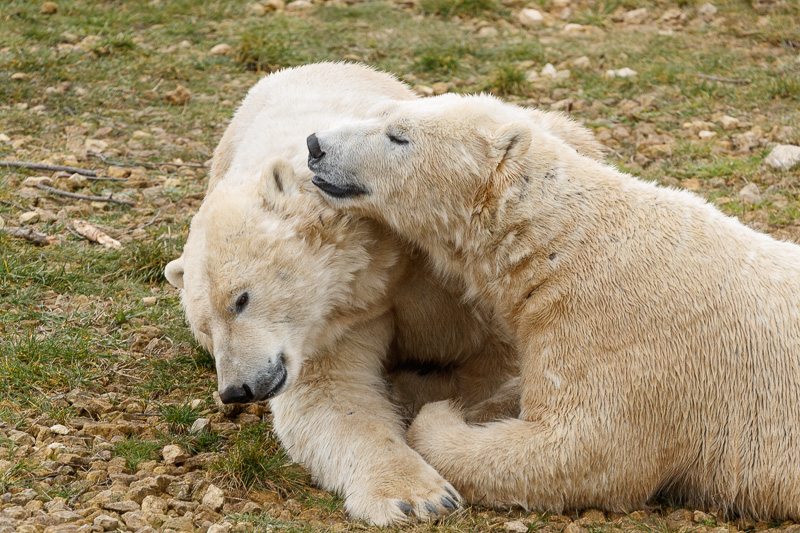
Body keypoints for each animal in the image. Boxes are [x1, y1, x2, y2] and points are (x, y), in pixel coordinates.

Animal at [164, 63, 606, 524]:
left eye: (241, 299)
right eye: (204, 327)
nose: (238, 390)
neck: (379, 257)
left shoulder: (443, 278)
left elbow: (492, 359)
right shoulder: (334, 319)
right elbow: (333, 395)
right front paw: (417, 495)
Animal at [307, 92, 800, 519]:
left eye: (398, 136)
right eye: (380, 113)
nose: (315, 145)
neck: (562, 245)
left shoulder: (620, 334)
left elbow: (578, 453)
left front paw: (443, 415)